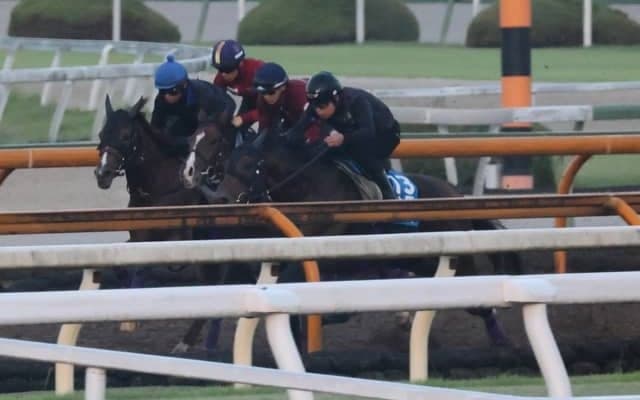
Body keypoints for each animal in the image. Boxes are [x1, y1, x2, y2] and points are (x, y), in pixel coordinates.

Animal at [93, 95, 229, 354]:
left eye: (125, 135)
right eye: (102, 134)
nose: (102, 173)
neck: (157, 188)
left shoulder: (175, 240)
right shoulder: (139, 236)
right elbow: (122, 266)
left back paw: (188, 343)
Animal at [198, 131, 520, 348]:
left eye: (249, 164)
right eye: (228, 163)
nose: (219, 198)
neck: (313, 189)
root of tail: (455, 194)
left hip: (454, 257)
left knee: (478, 298)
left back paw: (502, 339)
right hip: (423, 260)